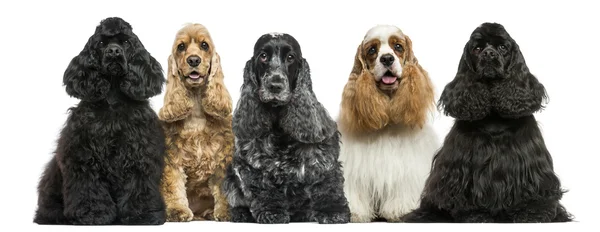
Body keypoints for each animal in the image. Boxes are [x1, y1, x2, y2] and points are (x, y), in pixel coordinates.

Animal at [34, 17, 168, 226]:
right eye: (102, 43)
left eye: (126, 42)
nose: (113, 51)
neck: (113, 98)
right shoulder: (83, 154)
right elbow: (89, 188)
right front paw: (92, 214)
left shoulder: (140, 152)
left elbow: (139, 186)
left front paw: (142, 215)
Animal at [157, 23, 234, 221]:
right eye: (181, 47)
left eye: (204, 45)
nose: (193, 60)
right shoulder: (172, 158)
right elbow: (173, 185)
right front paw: (177, 210)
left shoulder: (223, 157)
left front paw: (226, 212)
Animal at [223, 32, 350, 223]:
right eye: (263, 56)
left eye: (290, 57)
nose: (275, 86)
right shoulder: (251, 163)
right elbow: (263, 188)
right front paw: (272, 212)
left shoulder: (323, 154)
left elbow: (327, 185)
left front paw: (333, 211)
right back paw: (241, 214)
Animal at [400, 23, 576, 223]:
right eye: (477, 49)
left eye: (503, 47)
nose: (489, 54)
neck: (493, 113)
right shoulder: (461, 166)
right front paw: (477, 215)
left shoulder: (531, 164)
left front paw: (532, 214)